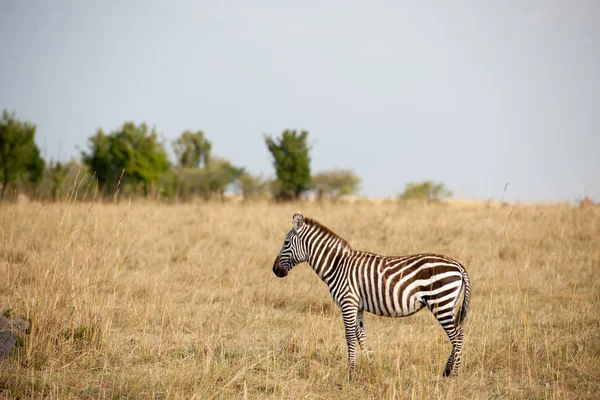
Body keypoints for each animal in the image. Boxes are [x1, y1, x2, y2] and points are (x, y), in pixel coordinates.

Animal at [272, 211, 474, 376]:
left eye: (286, 243)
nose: (275, 271)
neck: (337, 265)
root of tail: (458, 265)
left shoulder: (348, 302)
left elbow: (349, 337)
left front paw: (351, 372)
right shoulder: (357, 306)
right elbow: (361, 336)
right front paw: (371, 366)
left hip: (440, 302)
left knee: (458, 335)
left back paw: (454, 374)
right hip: (448, 304)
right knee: (457, 334)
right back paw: (447, 371)